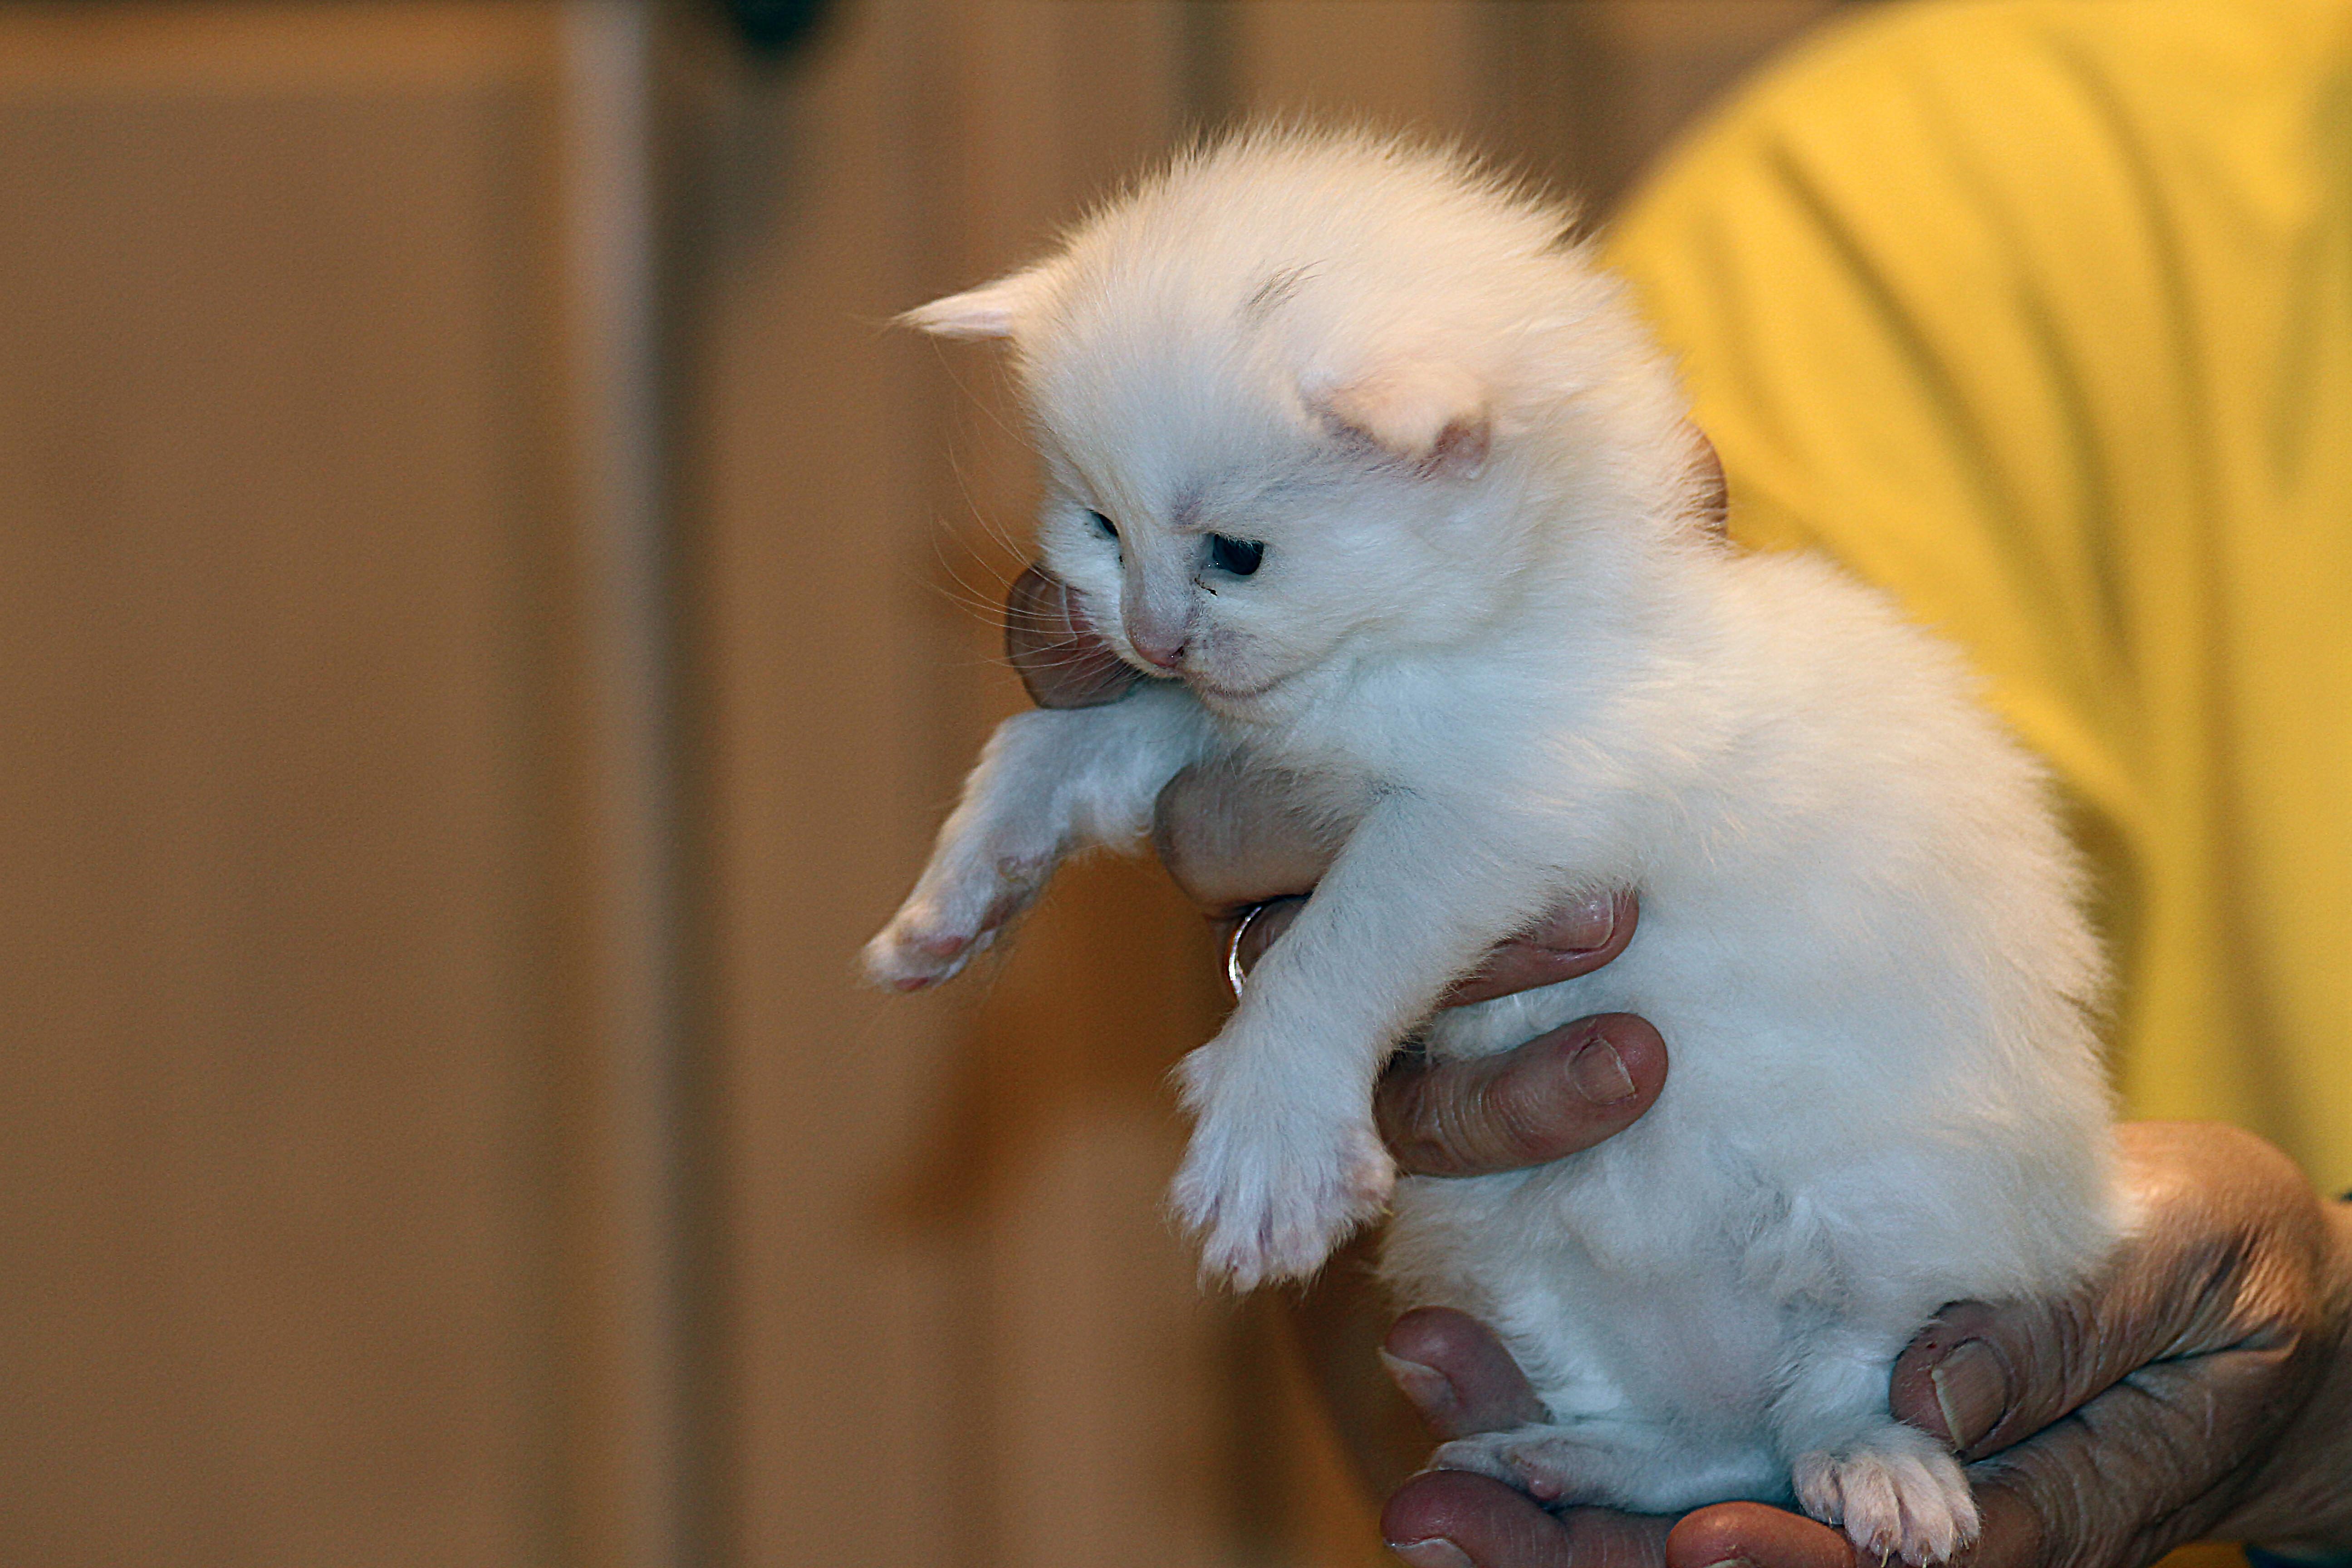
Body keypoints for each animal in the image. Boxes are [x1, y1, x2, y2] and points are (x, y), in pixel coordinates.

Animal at [875, 128, 2126, 1561]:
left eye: (1237, 554)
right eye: (1099, 528)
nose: (1149, 628)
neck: (1452, 630)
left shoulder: (1503, 808)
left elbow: (1340, 945)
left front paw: (1267, 1134)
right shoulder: (1238, 741)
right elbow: (1049, 745)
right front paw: (957, 898)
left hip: (1899, 1212)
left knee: (1834, 1385)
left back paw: (1876, 1461)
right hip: (1513, 1249)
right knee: (1715, 1446)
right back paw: (1573, 1458)